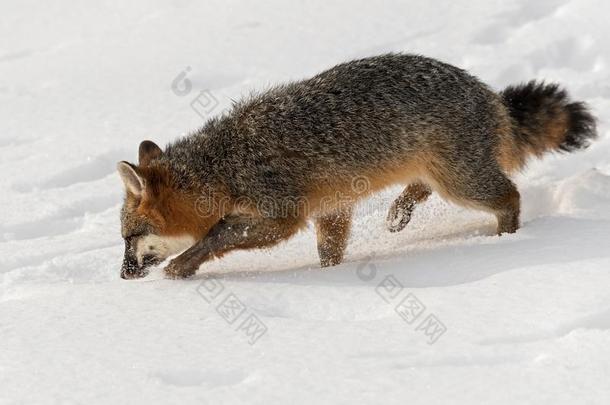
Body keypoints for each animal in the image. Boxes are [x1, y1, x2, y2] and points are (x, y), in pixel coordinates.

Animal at [115, 52, 592, 278]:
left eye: (129, 238)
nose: (121, 276)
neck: (224, 166)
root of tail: (491, 95)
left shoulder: (283, 217)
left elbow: (217, 235)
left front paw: (184, 266)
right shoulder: (331, 212)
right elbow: (330, 256)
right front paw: (329, 277)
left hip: (463, 184)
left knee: (510, 195)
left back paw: (506, 240)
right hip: (443, 176)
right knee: (424, 187)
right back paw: (399, 212)